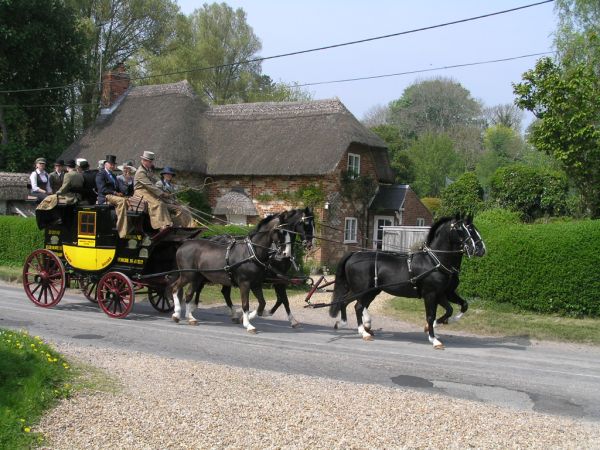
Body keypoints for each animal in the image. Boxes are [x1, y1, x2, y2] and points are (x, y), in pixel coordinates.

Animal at [328, 214, 482, 348]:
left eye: (474, 228)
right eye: (461, 229)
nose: (480, 249)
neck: (434, 262)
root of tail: (354, 254)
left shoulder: (442, 293)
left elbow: (456, 308)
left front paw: (437, 326)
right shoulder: (430, 294)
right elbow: (431, 316)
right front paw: (433, 339)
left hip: (370, 291)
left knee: (347, 302)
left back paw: (345, 324)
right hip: (361, 289)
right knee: (357, 306)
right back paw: (363, 332)